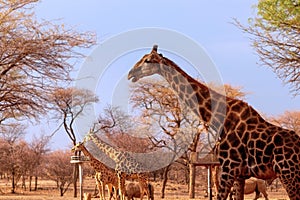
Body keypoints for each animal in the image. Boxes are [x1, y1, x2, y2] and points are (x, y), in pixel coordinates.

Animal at [127, 45, 300, 200]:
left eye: (148, 60)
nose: (130, 74)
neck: (220, 119)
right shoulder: (239, 174)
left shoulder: (228, 168)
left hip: (289, 175)